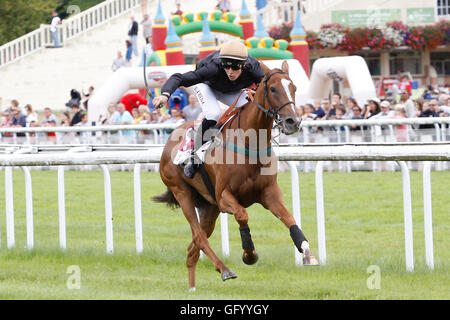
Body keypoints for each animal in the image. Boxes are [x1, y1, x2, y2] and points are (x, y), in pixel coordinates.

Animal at [153, 60, 318, 292]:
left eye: (293, 87)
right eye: (273, 89)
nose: (293, 122)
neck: (250, 144)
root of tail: (170, 140)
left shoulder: (270, 193)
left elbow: (289, 219)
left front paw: (307, 253)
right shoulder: (224, 197)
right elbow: (242, 215)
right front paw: (249, 254)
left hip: (209, 206)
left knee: (193, 247)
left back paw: (192, 288)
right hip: (182, 193)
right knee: (199, 237)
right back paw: (224, 269)